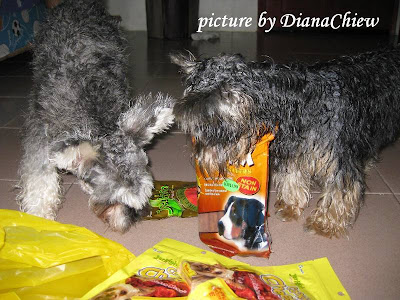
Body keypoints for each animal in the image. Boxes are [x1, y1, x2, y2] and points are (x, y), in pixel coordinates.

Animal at [17, 0, 174, 232]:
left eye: (147, 191)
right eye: (114, 199)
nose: (135, 218)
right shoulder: (39, 132)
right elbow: (40, 177)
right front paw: (39, 214)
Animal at [171, 48, 400, 238]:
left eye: (209, 126)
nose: (199, 159)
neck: (298, 103)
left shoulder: (339, 157)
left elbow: (339, 192)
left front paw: (325, 223)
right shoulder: (293, 150)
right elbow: (292, 178)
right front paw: (291, 205)